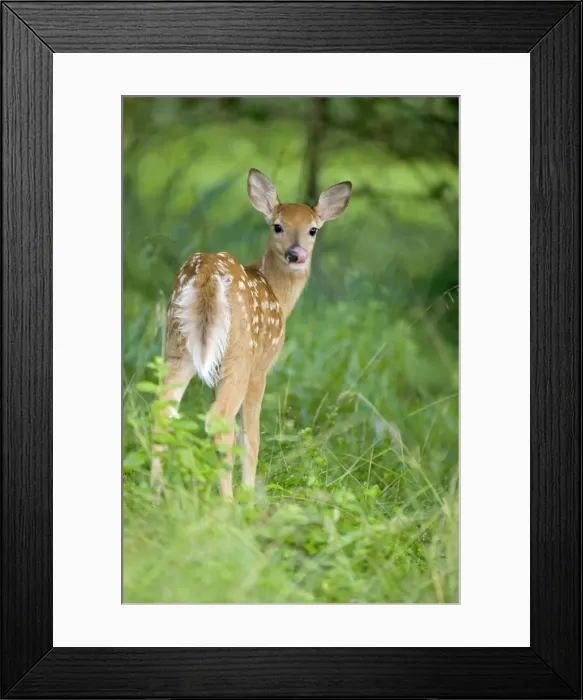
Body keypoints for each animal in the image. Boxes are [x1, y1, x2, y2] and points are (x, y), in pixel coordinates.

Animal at [152, 168, 352, 500]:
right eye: (278, 226)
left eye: (312, 230)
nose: (295, 254)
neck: (277, 294)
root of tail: (206, 275)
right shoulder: (262, 364)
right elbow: (250, 435)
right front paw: (248, 493)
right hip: (240, 351)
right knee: (219, 419)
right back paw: (228, 501)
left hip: (177, 344)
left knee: (164, 410)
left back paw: (155, 492)